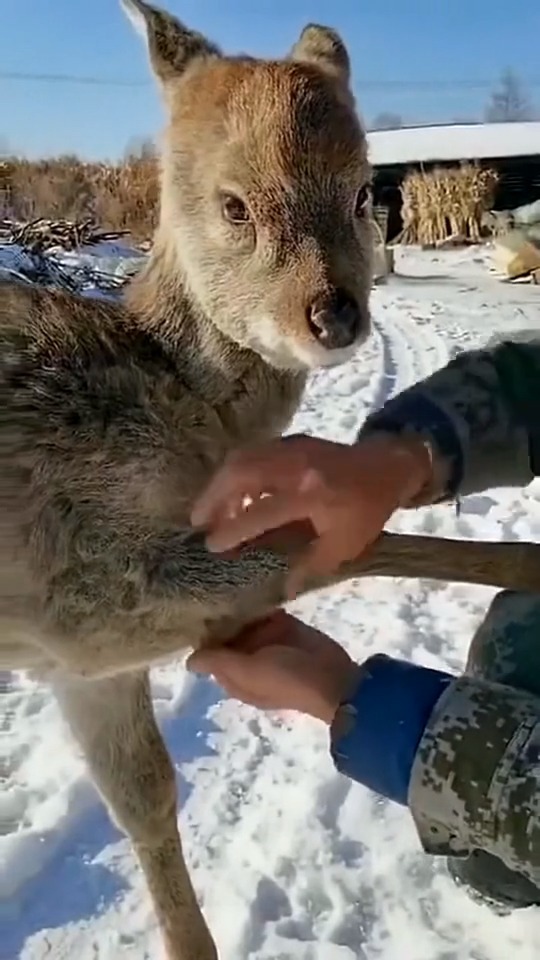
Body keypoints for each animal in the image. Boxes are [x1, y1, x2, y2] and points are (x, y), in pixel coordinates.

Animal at [4, 1, 540, 960]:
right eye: (233, 204)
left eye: (364, 192)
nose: (335, 314)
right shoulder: (87, 586)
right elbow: (345, 546)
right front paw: (536, 567)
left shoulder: (78, 660)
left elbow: (145, 797)